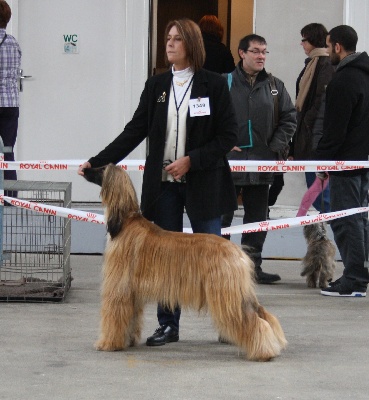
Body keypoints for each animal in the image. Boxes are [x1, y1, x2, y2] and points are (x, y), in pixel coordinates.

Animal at [82, 164, 286, 360]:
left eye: (102, 169)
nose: (85, 169)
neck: (124, 222)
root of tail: (237, 251)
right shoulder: (132, 292)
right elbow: (131, 318)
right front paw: (128, 340)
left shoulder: (119, 287)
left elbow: (114, 316)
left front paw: (108, 343)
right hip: (236, 291)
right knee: (260, 314)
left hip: (226, 293)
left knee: (252, 321)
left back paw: (263, 352)